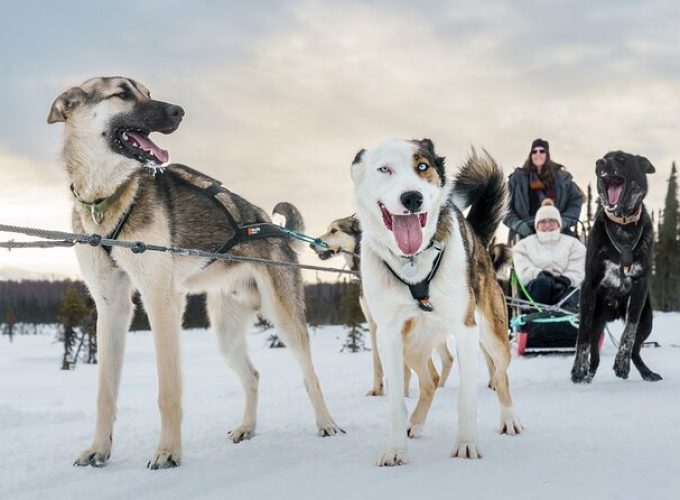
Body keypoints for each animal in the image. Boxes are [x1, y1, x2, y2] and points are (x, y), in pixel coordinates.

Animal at [572, 150, 660, 384]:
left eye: (621, 158)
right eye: (603, 157)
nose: (599, 163)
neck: (623, 225)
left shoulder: (639, 287)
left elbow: (628, 332)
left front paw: (621, 363)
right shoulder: (590, 285)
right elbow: (582, 335)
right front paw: (578, 369)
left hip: (647, 321)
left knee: (636, 349)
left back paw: (646, 372)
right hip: (597, 322)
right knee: (594, 352)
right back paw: (587, 374)